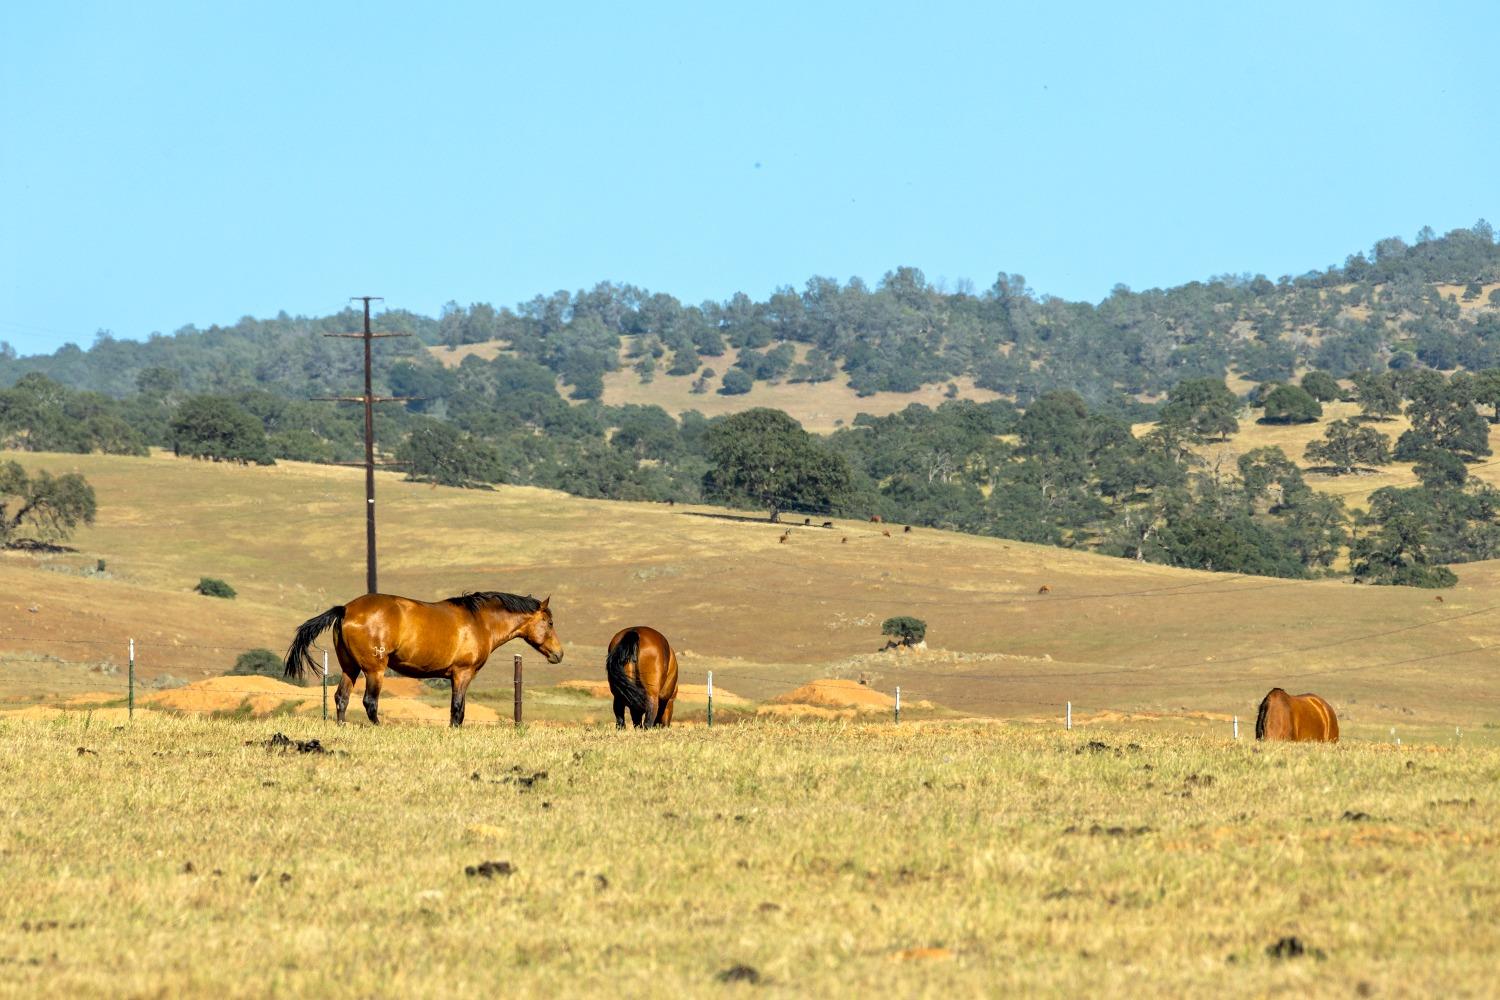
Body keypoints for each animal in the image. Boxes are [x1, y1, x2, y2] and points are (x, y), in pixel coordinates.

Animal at [282, 593, 564, 728]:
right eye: (550, 622)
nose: (558, 654)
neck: (479, 621)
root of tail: (346, 609)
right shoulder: (462, 674)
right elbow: (457, 709)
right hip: (374, 669)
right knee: (369, 702)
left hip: (349, 667)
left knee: (341, 697)